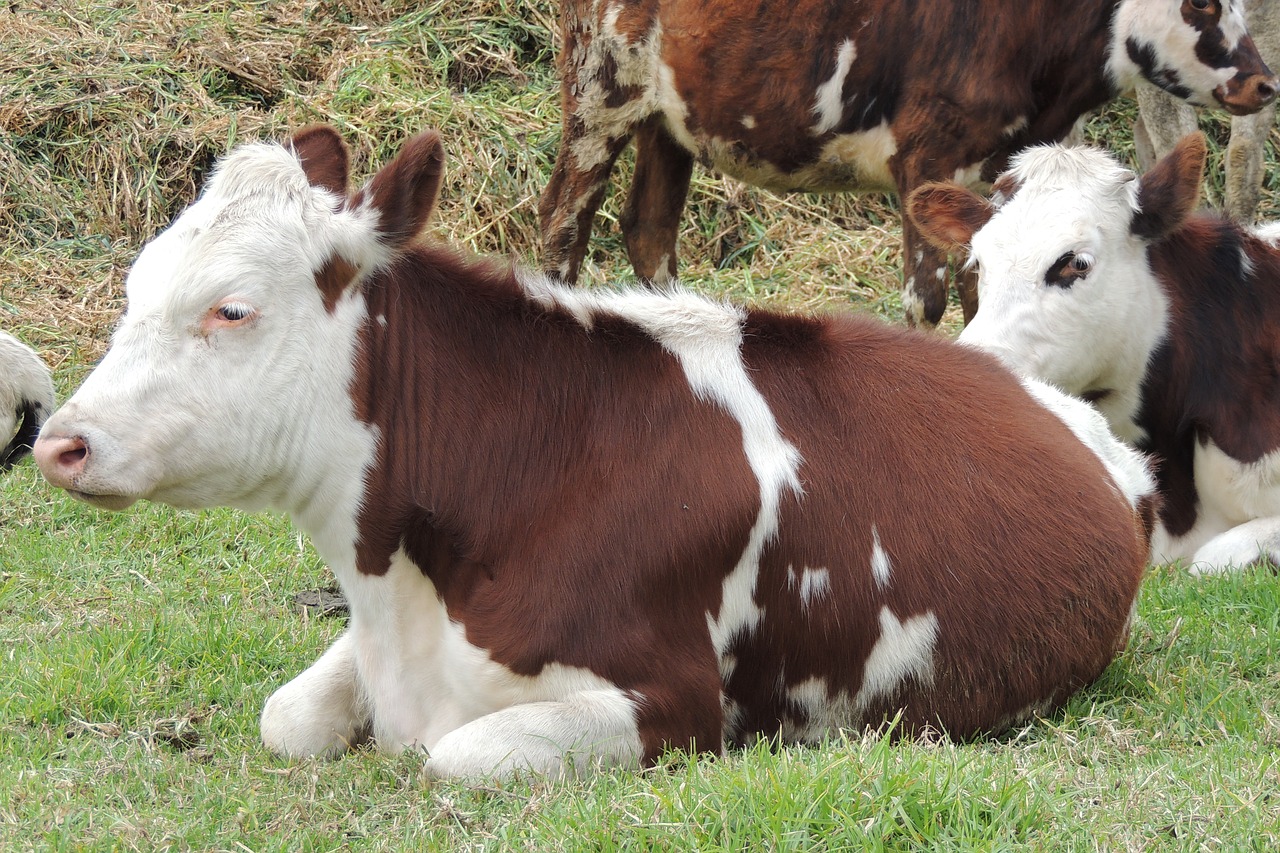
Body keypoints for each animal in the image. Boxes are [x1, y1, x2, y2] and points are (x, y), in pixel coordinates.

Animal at [40, 124, 1157, 778]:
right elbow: (289, 714)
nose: (60, 440)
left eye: (230, 308)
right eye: (138, 285)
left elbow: (452, 759)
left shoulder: (673, 704)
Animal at [537, 0, 1269, 325]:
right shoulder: (929, 152)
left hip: (671, 119)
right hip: (601, 91)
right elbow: (929, 297)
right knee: (564, 220)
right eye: (1203, 2)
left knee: (649, 231)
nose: (1265, 84)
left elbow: (982, 288)